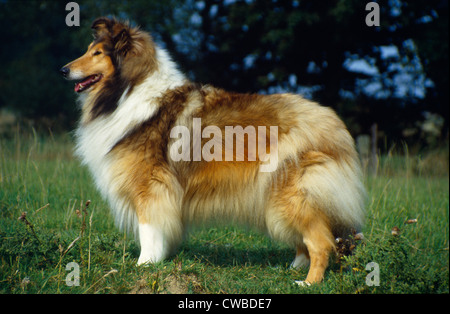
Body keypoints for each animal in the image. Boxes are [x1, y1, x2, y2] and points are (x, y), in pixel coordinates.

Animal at [60, 18, 366, 286]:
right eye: (88, 50)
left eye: (97, 53)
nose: (63, 70)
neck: (129, 91)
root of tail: (334, 124)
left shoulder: (150, 187)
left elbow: (148, 229)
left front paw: (143, 265)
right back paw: (293, 268)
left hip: (291, 193)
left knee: (322, 243)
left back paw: (307, 282)